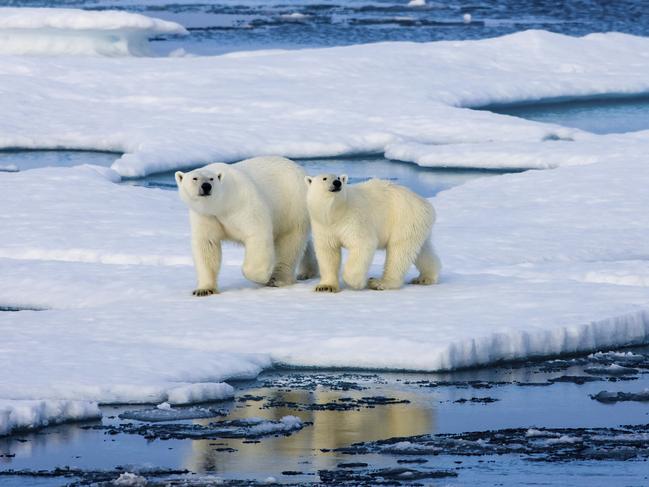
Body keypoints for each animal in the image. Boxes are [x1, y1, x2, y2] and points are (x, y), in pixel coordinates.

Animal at [176, 156, 318, 296]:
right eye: (194, 178)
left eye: (212, 179)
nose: (206, 186)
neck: (222, 204)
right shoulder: (206, 216)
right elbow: (207, 245)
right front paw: (204, 289)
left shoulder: (242, 202)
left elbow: (257, 233)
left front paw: (262, 277)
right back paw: (307, 272)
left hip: (292, 205)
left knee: (289, 242)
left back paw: (277, 279)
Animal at [306, 174, 440, 292]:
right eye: (324, 178)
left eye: (338, 177)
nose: (337, 183)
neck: (335, 213)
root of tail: (426, 204)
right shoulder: (324, 226)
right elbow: (328, 252)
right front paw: (325, 287)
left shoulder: (354, 219)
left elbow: (363, 244)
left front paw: (356, 283)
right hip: (417, 224)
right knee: (421, 250)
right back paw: (425, 278)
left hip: (404, 219)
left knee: (399, 251)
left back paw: (379, 283)